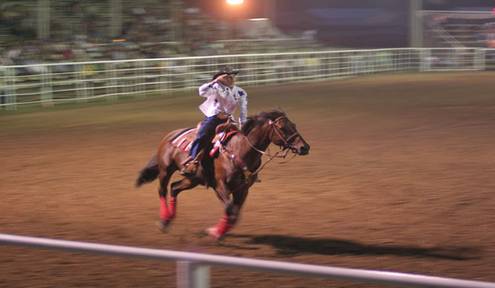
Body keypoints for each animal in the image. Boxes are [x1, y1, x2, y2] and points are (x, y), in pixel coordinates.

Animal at [136, 109, 310, 240]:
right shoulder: (220, 185)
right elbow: (229, 209)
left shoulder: (242, 189)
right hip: (165, 170)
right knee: (162, 190)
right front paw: (214, 232)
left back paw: (168, 220)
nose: (304, 147)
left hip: (193, 179)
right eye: (282, 128)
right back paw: (163, 220)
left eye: (293, 125)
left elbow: (235, 214)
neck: (239, 150)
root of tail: (170, 135)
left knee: (174, 188)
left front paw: (217, 231)